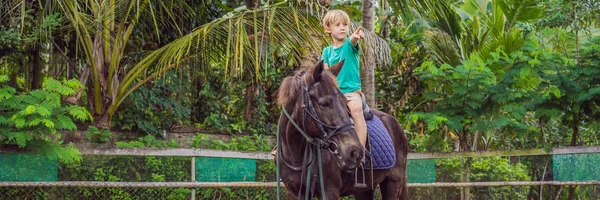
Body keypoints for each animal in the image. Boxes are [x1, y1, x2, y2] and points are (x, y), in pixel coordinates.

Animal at [276, 60, 408, 199]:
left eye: (346, 102)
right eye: (324, 103)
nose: (355, 152)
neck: (296, 158)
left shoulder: (330, 191)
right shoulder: (294, 192)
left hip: (393, 182)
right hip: (364, 190)